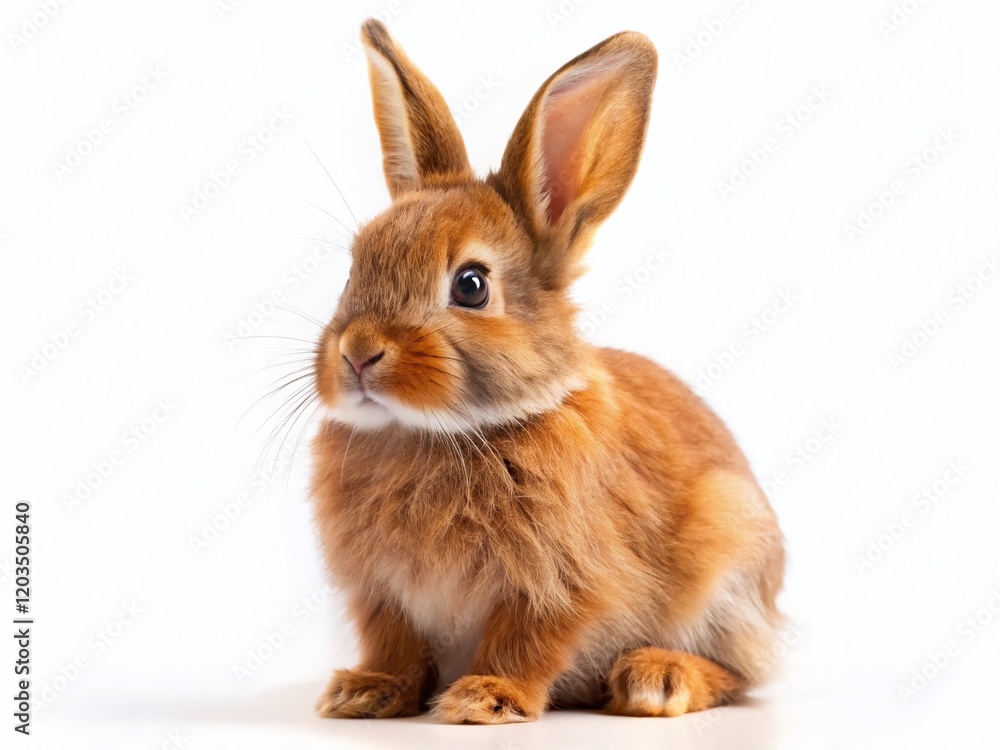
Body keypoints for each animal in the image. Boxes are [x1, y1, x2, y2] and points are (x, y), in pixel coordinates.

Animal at [309, 19, 785, 724]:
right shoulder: (382, 594)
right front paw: (366, 691)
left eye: (471, 285)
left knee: (742, 674)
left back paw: (657, 679)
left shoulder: (560, 583)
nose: (359, 352)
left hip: (729, 551)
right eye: (353, 268)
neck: (440, 432)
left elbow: (528, 639)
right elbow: (393, 643)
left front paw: (485, 698)